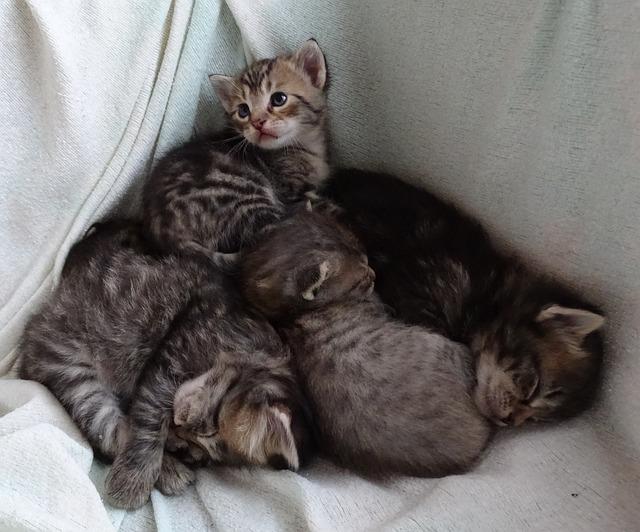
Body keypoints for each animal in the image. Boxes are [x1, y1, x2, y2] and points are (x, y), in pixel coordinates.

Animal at [18, 221, 308, 512]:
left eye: (203, 444)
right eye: (212, 420)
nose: (180, 424)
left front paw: (178, 446)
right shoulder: (172, 355)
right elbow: (149, 417)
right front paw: (137, 475)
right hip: (71, 368)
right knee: (107, 429)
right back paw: (163, 472)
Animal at [142, 39, 328, 258]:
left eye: (279, 99)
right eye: (243, 110)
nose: (257, 123)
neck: (304, 146)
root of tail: (165, 233)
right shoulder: (289, 189)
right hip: (243, 195)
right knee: (270, 233)